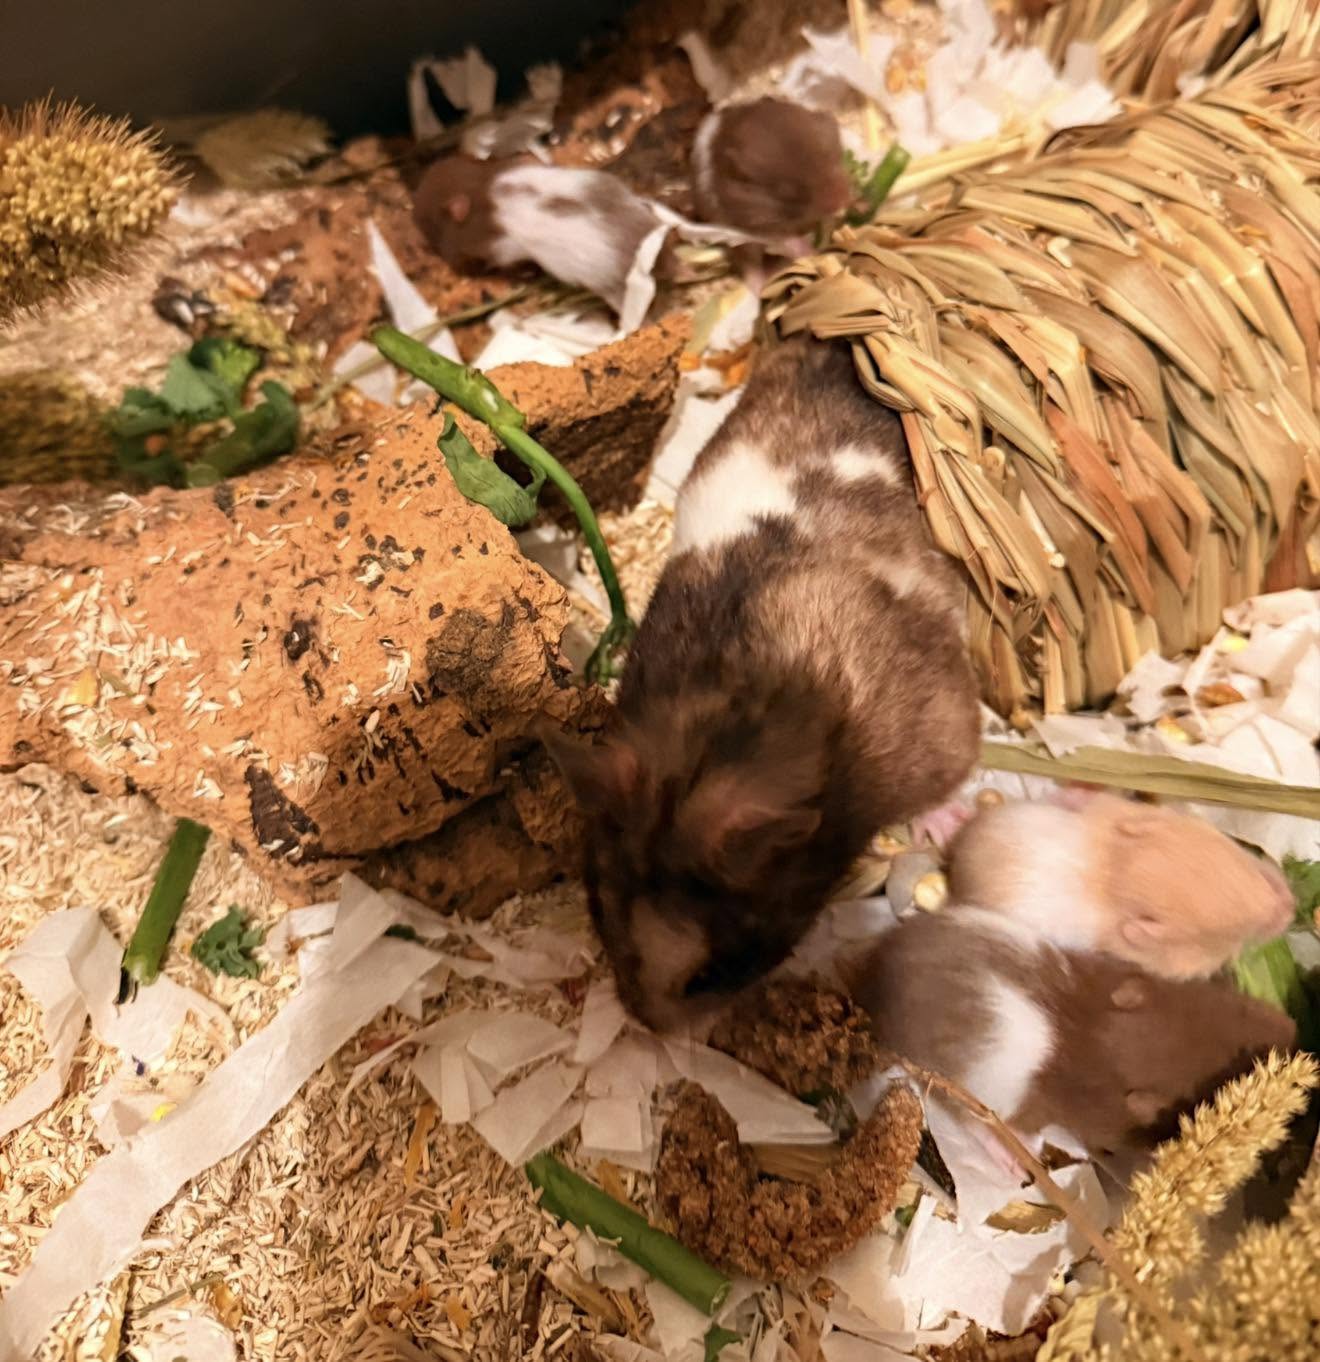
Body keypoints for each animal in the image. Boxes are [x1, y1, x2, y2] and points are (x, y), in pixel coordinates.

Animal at [691, 98, 852, 239]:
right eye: (786, 192)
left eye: (828, 154)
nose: (841, 202)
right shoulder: (754, 220)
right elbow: (785, 237)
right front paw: (806, 250)